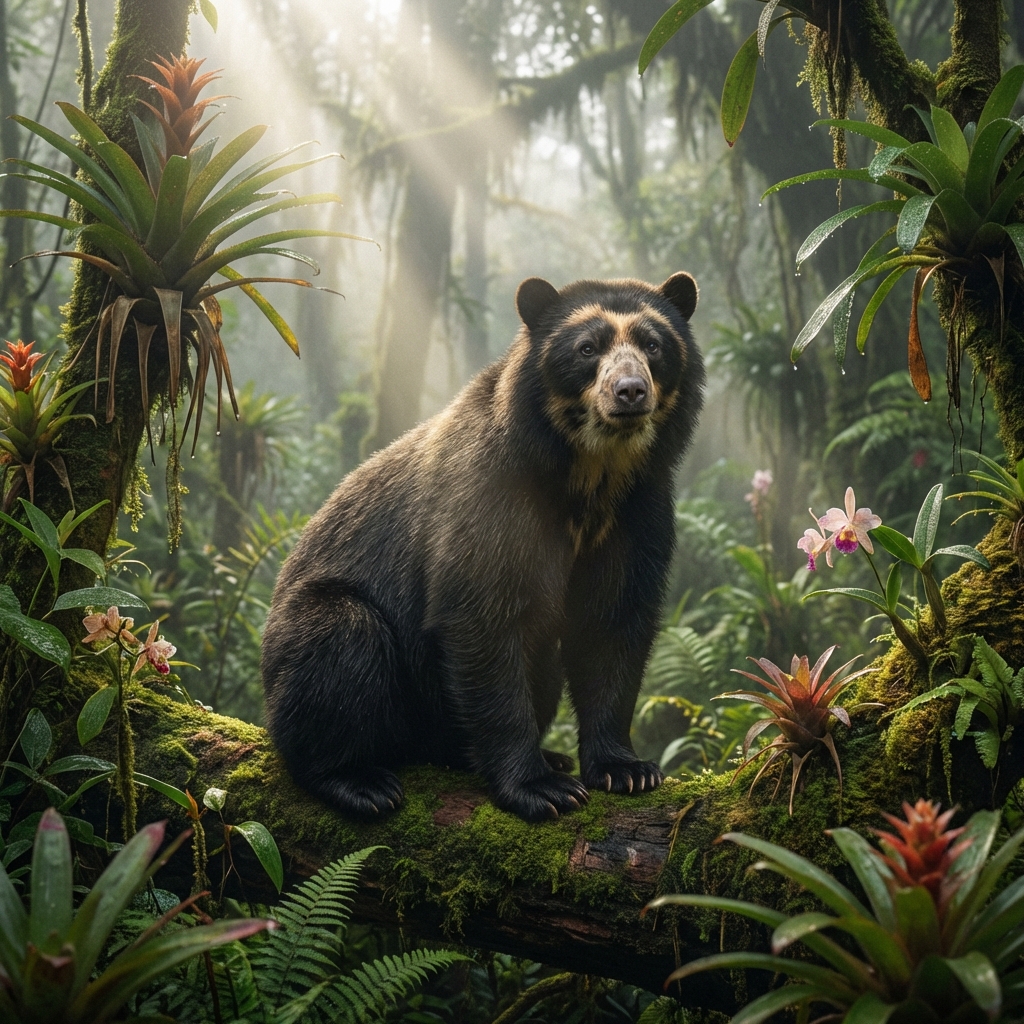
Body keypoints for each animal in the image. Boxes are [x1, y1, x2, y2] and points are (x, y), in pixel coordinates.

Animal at [260, 272, 705, 822]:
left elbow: (612, 622)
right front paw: (540, 788)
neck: (592, 473)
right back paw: (359, 780)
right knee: (340, 644)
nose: (630, 391)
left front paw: (626, 770)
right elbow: (481, 617)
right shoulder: (490, 492)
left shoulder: (640, 511)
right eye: (587, 348)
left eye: (653, 345)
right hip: (313, 633)